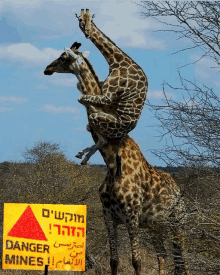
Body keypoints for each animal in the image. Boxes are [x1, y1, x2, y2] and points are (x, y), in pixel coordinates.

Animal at [44, 41, 189, 275]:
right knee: (163, 256)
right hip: (156, 227)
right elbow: (115, 261)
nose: (47, 69)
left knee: (182, 260)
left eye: (63, 57)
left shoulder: (131, 217)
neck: (111, 162)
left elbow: (136, 261)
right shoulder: (109, 217)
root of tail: (179, 191)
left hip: (178, 225)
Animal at [72, 9, 148, 166]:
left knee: (103, 139)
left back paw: (84, 157)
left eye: (90, 20)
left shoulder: (108, 97)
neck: (116, 62)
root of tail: (124, 132)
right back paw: (81, 154)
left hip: (101, 120)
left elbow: (81, 98)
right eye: (80, 20)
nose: (87, 32)